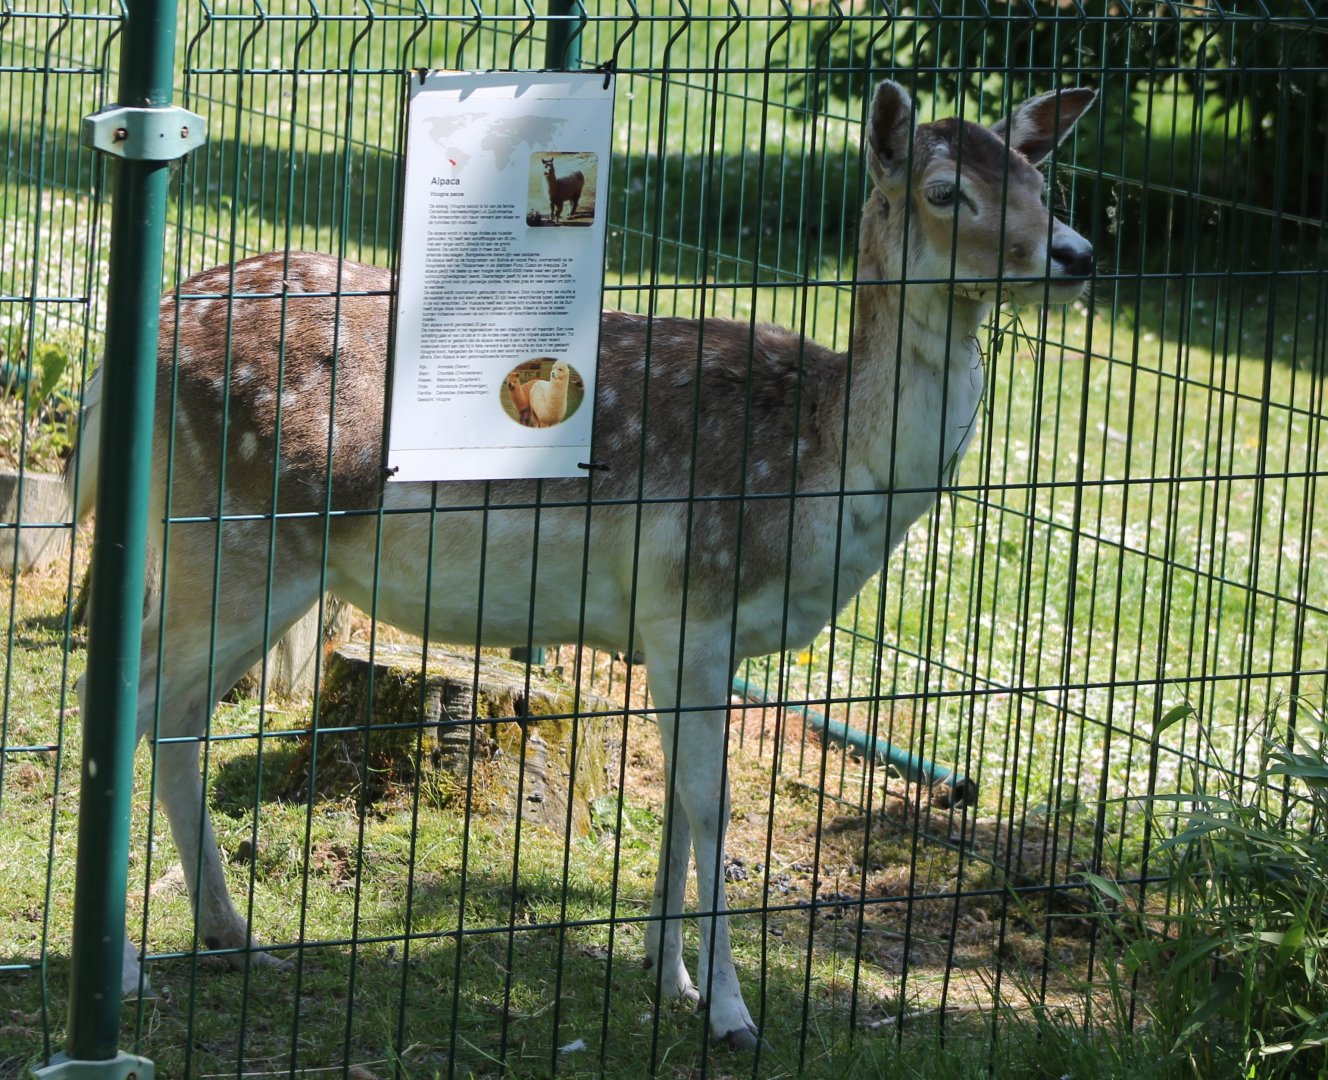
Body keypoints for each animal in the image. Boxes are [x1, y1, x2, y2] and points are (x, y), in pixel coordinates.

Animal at [72, 81, 1094, 1050]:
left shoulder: (677, 637)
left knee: (177, 714)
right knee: (135, 696)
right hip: (238, 537)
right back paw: (125, 969)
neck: (821, 475)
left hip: (242, 557)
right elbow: (715, 807)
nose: (1075, 254)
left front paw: (667, 976)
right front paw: (732, 1014)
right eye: (944, 190)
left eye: (1041, 181)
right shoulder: (694, 604)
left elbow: (678, 803)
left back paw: (231, 932)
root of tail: (122, 354)